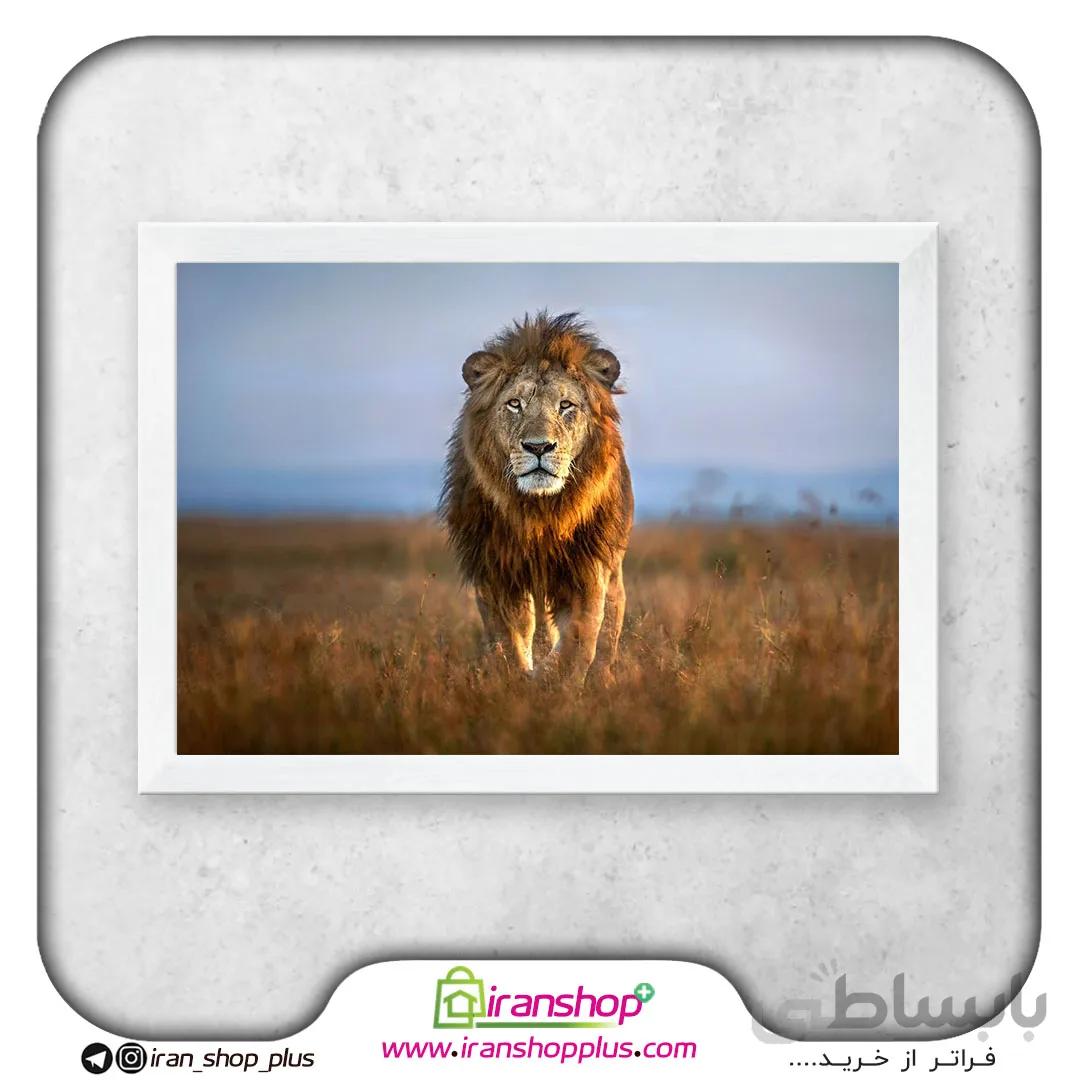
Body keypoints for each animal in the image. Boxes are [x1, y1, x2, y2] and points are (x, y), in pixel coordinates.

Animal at [440, 311, 633, 682]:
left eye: (566, 405)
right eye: (515, 404)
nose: (539, 447)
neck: (539, 511)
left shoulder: (587, 568)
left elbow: (579, 637)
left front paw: (552, 679)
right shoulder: (495, 570)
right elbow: (508, 637)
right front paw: (517, 679)